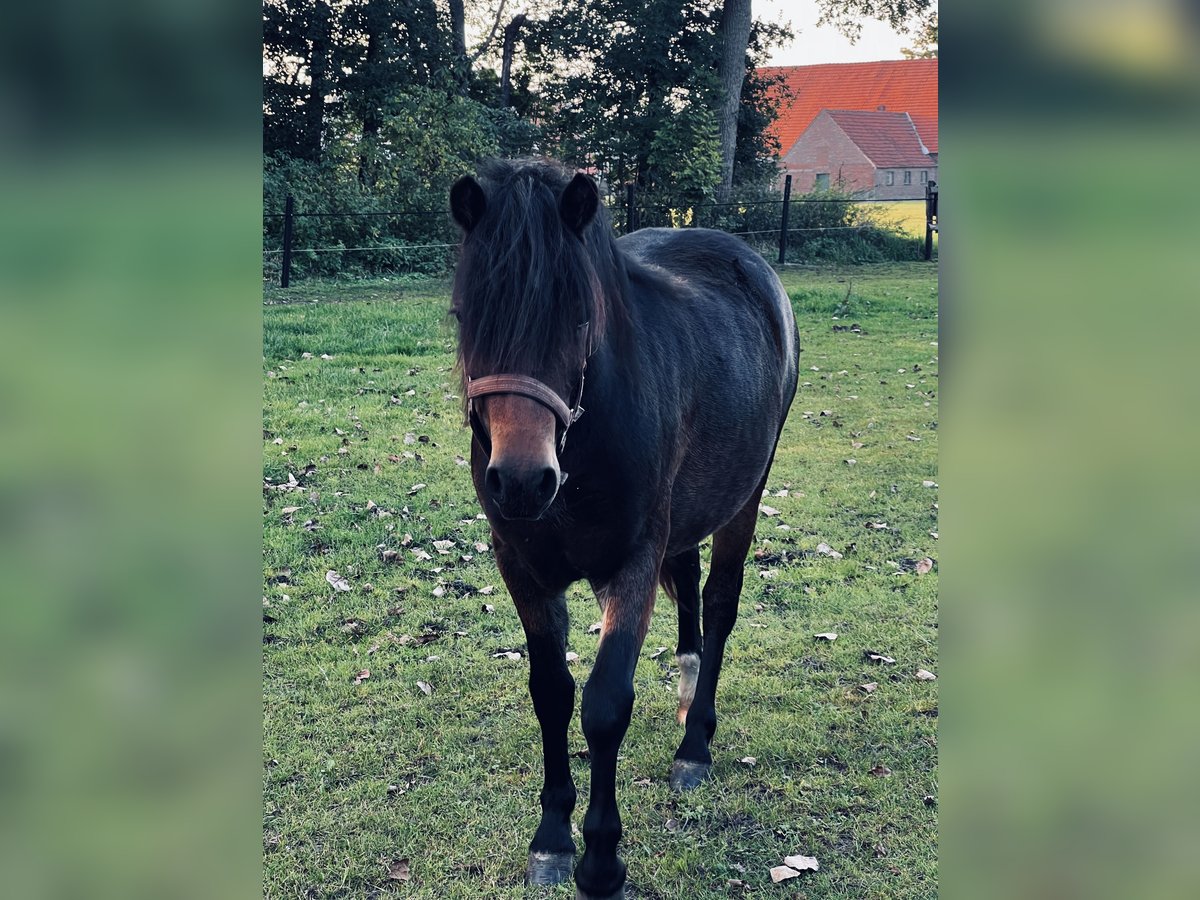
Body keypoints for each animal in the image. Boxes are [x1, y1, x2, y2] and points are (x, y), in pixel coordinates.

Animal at [451, 158, 796, 897]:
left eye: (580, 317)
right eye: (465, 316)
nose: (521, 480)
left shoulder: (632, 563)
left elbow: (605, 705)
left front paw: (602, 861)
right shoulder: (521, 565)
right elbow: (552, 693)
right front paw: (552, 839)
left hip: (746, 497)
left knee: (720, 602)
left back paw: (695, 744)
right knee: (690, 583)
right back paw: (688, 689)